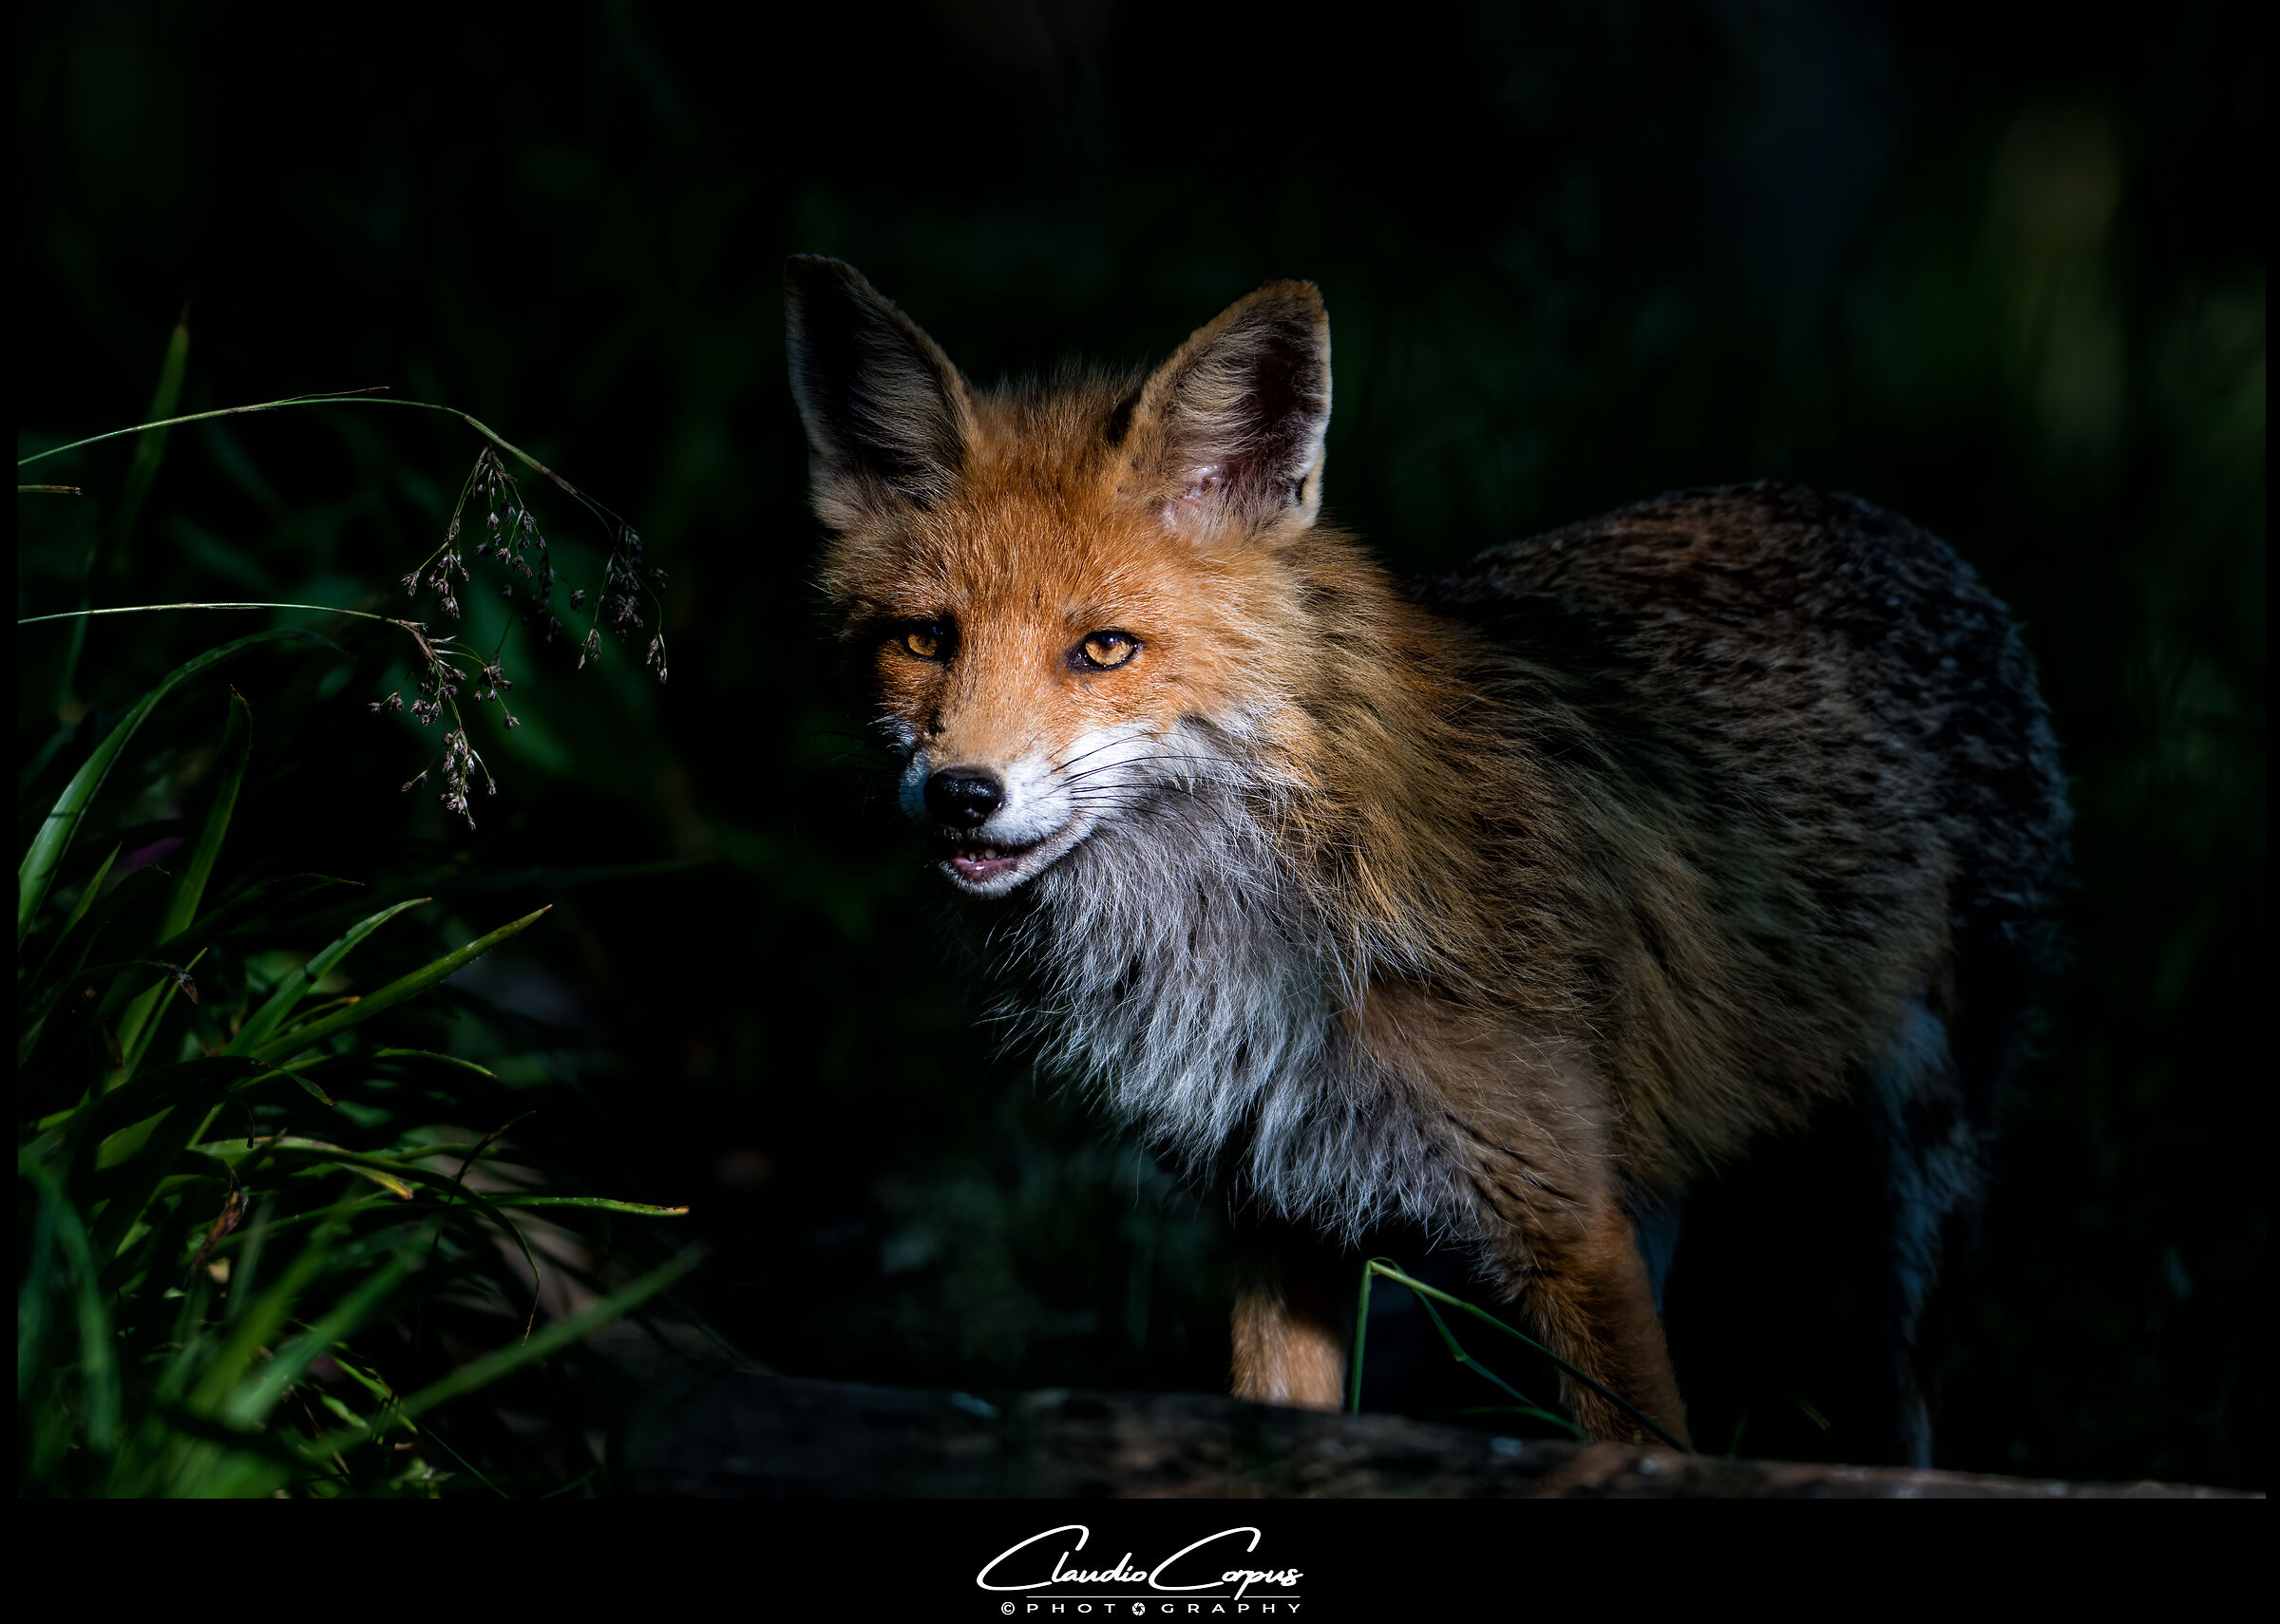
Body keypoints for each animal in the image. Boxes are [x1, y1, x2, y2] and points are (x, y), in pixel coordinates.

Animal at [784, 255, 2069, 1464]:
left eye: (1103, 650)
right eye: (922, 640)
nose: (961, 797)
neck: (1255, 938)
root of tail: (1868, 513)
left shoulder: (1567, 1223)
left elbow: (1644, 1446)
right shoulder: (1276, 1209)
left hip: (1921, 1183)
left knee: (1907, 1409)